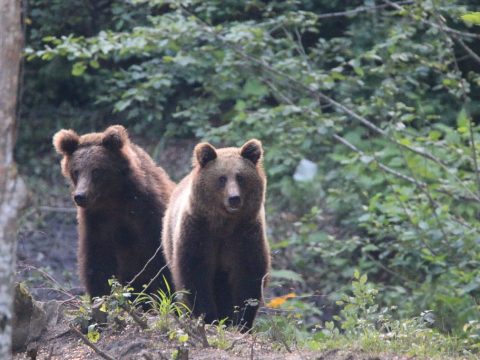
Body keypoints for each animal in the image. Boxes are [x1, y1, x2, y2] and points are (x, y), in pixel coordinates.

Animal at [53, 124, 176, 298]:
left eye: (96, 170)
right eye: (76, 171)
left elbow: (160, 261)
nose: (80, 196)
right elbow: (98, 263)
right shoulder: (97, 222)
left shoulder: (148, 214)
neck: (114, 199)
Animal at [163, 139, 270, 330]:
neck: (224, 224)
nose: (234, 198)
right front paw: (208, 317)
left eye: (240, 177)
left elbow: (249, 276)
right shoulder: (198, 231)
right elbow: (195, 273)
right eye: (222, 178)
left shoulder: (245, 234)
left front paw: (241, 321)